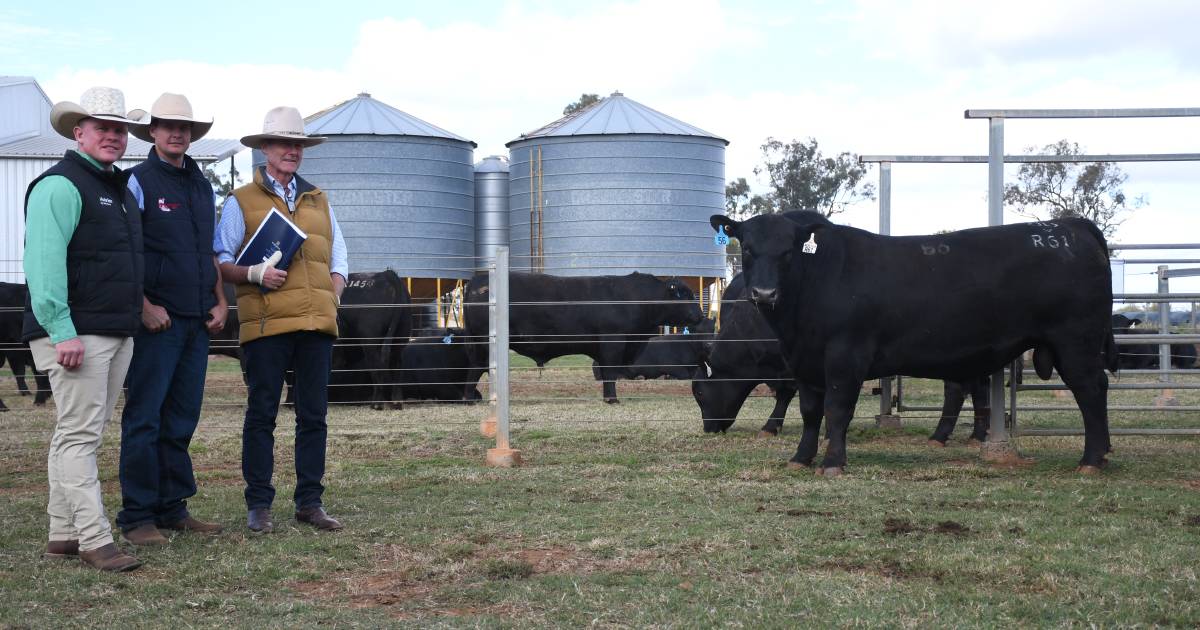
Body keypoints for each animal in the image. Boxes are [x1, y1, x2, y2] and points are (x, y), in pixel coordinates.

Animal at [458, 271, 700, 403]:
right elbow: (610, 372)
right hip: (484, 343)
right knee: (477, 368)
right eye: (685, 295)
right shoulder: (613, 342)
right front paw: (612, 399)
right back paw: (471, 398)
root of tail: (477, 281)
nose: (699, 315)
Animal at [710, 211, 1113, 470]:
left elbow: (837, 410)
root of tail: (1069, 225)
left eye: (788, 251)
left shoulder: (845, 356)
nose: (764, 293)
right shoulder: (804, 362)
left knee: (1091, 389)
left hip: (1075, 342)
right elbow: (811, 411)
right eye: (748, 249)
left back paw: (1091, 461)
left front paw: (833, 462)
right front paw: (800, 459)